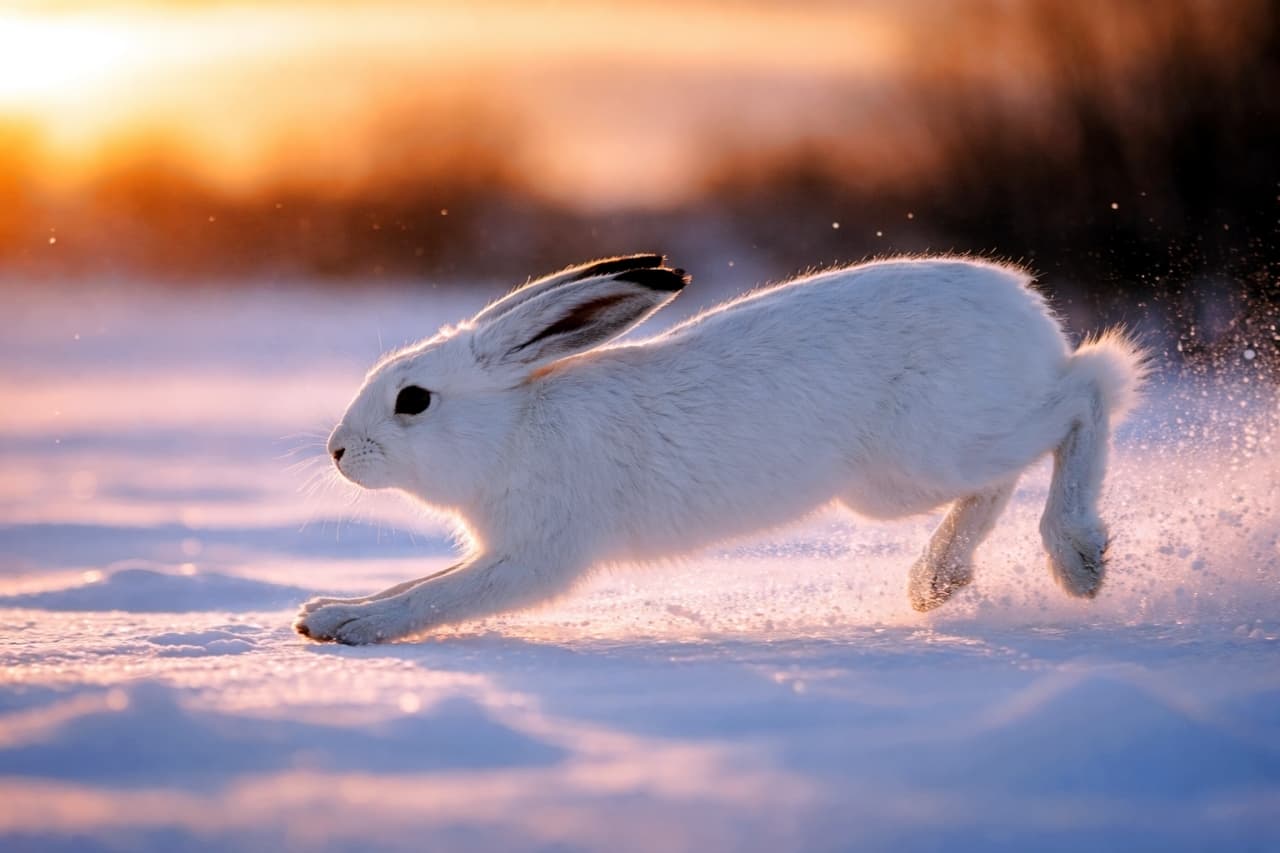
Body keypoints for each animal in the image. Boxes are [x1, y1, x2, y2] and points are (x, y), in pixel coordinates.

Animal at [295, 253, 1147, 644]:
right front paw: (319, 612)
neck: (509, 427)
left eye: (413, 400)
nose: (338, 450)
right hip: (907, 474)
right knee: (1010, 466)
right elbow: (420, 581)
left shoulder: (535, 554)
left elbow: (437, 595)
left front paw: (351, 626)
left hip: (926, 451)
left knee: (1089, 388)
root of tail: (1026, 309)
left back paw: (1075, 555)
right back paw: (937, 580)